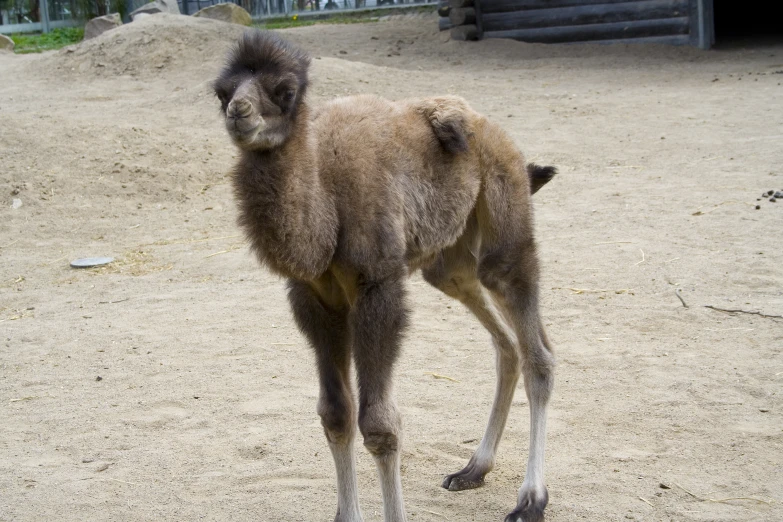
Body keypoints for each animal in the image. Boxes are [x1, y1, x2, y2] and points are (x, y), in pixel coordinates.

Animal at [214, 32, 556, 520]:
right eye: (221, 92)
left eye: (285, 91)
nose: (238, 113)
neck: (327, 204)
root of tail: (495, 132)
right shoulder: (313, 299)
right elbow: (335, 413)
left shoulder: (378, 288)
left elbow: (379, 423)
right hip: (447, 261)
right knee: (504, 340)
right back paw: (472, 469)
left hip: (506, 217)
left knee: (536, 349)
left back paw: (530, 500)